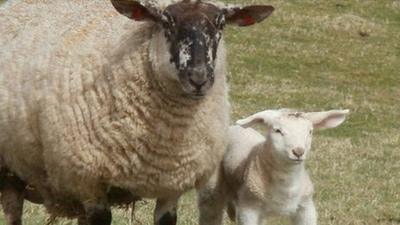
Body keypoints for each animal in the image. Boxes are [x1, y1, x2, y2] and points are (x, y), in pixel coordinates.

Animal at [0, 0, 276, 225]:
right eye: (166, 21)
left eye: (221, 24)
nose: (199, 78)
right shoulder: (88, 179)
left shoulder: (172, 183)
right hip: (9, 168)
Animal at [198, 108, 348, 225]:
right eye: (278, 130)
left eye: (310, 131)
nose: (298, 152)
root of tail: (232, 128)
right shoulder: (248, 207)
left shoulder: (306, 206)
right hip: (212, 187)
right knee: (210, 213)